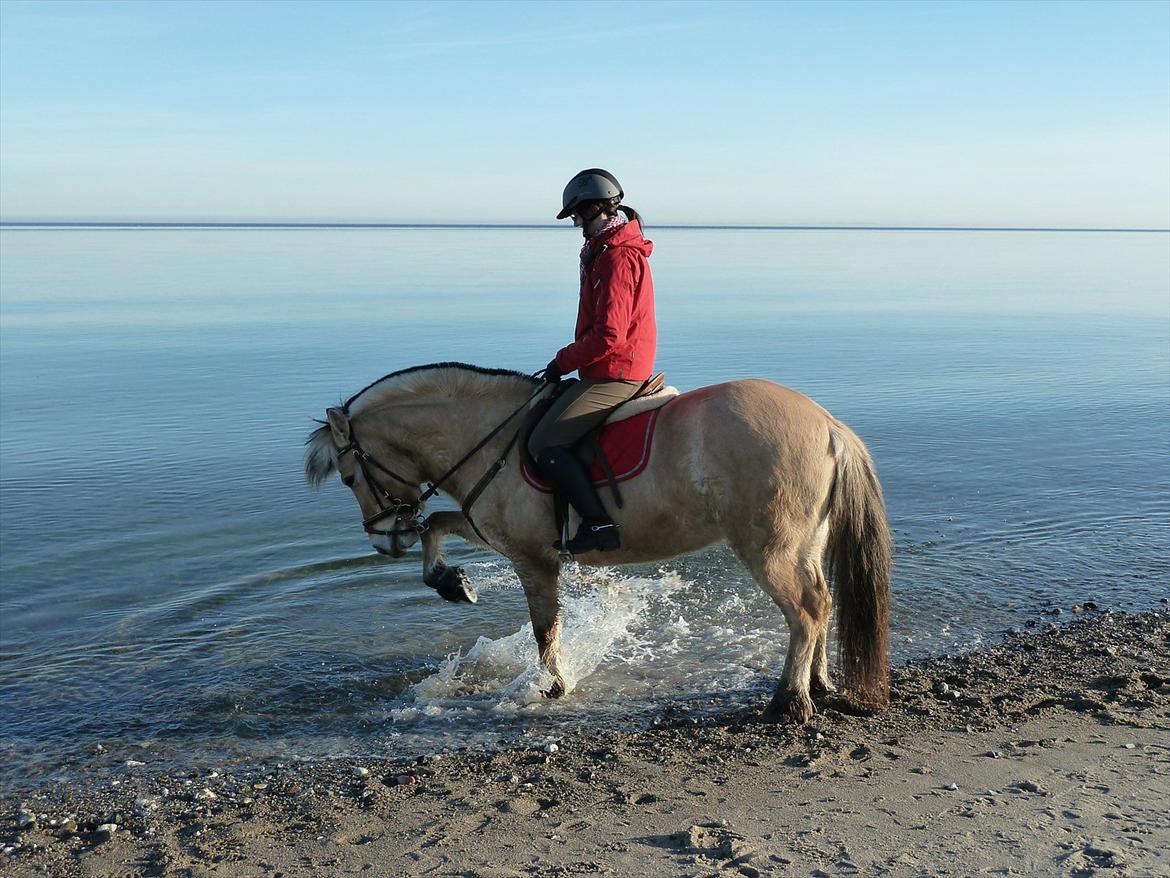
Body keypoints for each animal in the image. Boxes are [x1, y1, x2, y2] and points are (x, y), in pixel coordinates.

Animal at [306, 360, 889, 725]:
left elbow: (545, 628)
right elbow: (438, 525)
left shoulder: (532, 556)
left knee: (806, 611)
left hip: (770, 548)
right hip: (805, 543)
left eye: (349, 477)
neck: (492, 439)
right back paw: (819, 685)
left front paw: (553, 687)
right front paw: (453, 582)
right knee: (822, 603)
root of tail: (828, 425)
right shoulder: (491, 530)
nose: (385, 542)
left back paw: (788, 702)